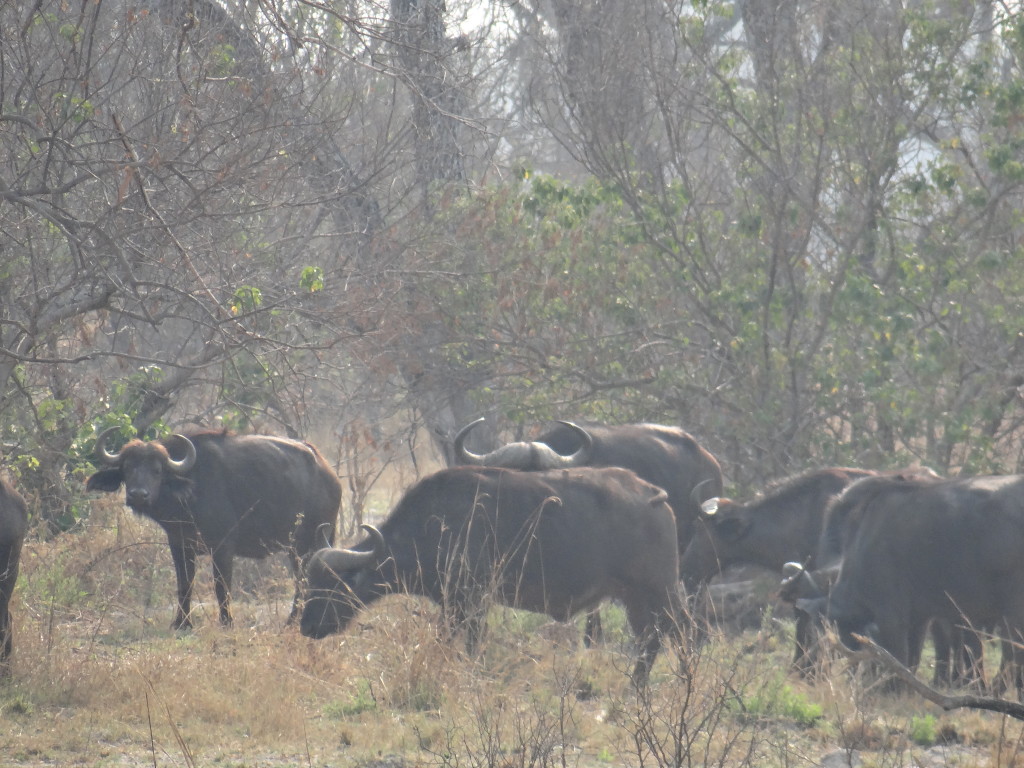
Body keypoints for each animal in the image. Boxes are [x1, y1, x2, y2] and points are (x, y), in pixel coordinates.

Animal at [87, 427, 342, 629]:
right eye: (128, 468)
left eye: (157, 470)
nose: (138, 495)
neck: (190, 494)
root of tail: (329, 474)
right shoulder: (179, 545)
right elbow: (184, 584)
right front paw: (181, 623)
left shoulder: (223, 547)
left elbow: (222, 586)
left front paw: (227, 622)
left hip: (307, 543)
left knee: (304, 580)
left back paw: (293, 622)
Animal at [300, 465, 685, 685]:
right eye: (310, 585)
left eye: (332, 586)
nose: (306, 626)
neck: (431, 525)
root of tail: (654, 495)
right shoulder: (454, 604)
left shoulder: (468, 601)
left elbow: (466, 643)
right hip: (634, 598)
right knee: (650, 639)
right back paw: (637, 685)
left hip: (658, 590)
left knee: (676, 633)